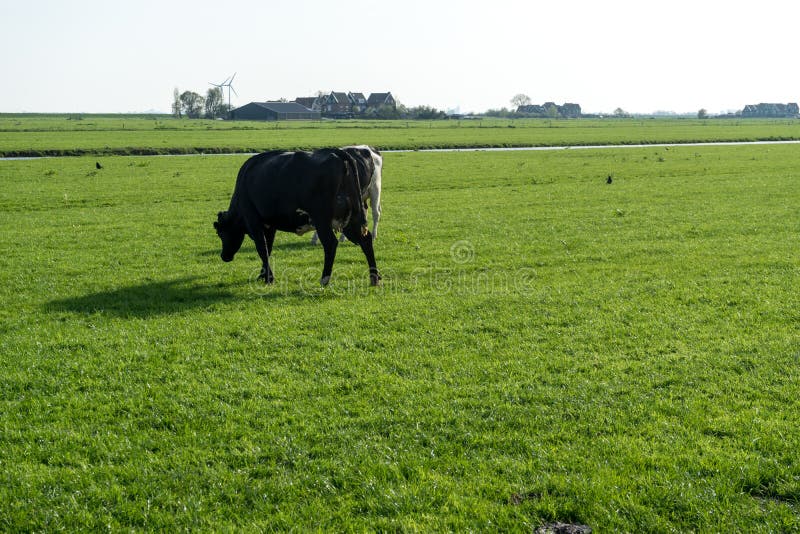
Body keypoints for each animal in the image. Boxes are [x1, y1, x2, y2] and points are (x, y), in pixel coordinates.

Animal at [214, 147, 380, 288]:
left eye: (221, 233)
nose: (224, 256)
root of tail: (338, 153)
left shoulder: (253, 221)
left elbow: (262, 248)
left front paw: (268, 278)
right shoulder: (270, 225)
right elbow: (268, 248)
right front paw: (263, 275)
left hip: (322, 219)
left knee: (330, 244)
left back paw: (324, 279)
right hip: (351, 218)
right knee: (366, 240)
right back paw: (374, 278)